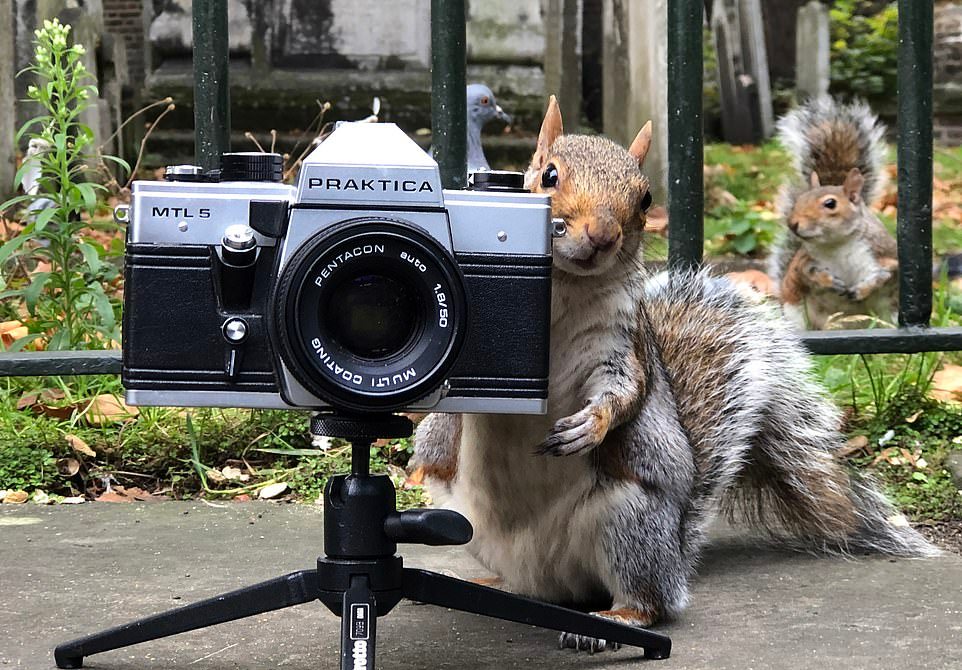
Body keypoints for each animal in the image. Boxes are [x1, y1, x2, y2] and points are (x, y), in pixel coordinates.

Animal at [410, 97, 928, 652]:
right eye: (548, 175)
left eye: (645, 198)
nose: (602, 235)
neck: (562, 289)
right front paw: (426, 443)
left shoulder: (620, 345)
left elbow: (625, 391)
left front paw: (589, 425)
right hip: (470, 525)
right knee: (521, 583)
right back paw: (486, 580)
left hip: (630, 525)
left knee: (651, 601)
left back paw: (614, 621)